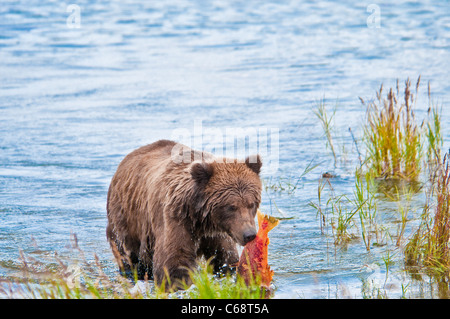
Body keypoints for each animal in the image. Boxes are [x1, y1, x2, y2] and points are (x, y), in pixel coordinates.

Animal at [106, 140, 262, 290]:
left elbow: (225, 257)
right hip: (126, 218)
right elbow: (174, 262)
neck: (201, 218)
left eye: (252, 204)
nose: (249, 234)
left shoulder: (217, 233)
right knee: (129, 255)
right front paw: (180, 284)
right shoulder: (174, 217)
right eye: (231, 207)